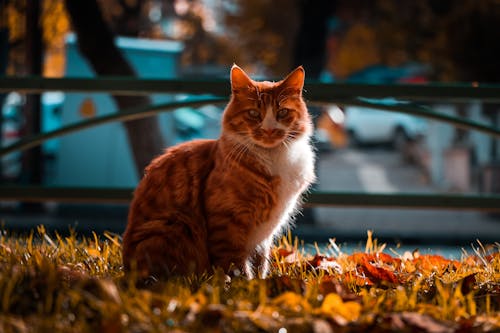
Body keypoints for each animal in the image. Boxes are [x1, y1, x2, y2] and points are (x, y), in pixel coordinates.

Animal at [121, 64, 314, 278]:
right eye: (254, 114)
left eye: (282, 112)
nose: (270, 130)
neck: (274, 158)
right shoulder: (227, 222)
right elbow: (235, 265)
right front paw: (243, 284)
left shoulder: (265, 234)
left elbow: (260, 263)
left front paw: (260, 283)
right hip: (176, 224)